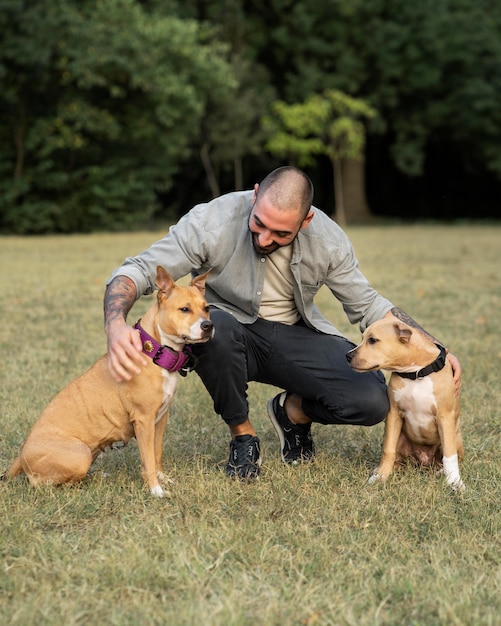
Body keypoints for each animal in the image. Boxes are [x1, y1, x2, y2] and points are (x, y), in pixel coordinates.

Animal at [2, 266, 213, 494]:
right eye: (184, 309)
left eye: (207, 308)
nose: (208, 325)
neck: (155, 352)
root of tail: (21, 455)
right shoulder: (144, 421)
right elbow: (148, 459)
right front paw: (155, 490)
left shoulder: (160, 419)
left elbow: (157, 454)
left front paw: (163, 479)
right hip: (80, 454)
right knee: (47, 483)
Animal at [346, 320, 462, 490]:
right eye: (363, 338)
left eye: (372, 340)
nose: (348, 356)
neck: (416, 374)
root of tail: (423, 462)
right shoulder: (394, 414)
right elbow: (388, 450)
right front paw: (381, 476)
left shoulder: (445, 416)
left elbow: (450, 455)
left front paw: (455, 482)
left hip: (456, 436)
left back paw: (441, 472)